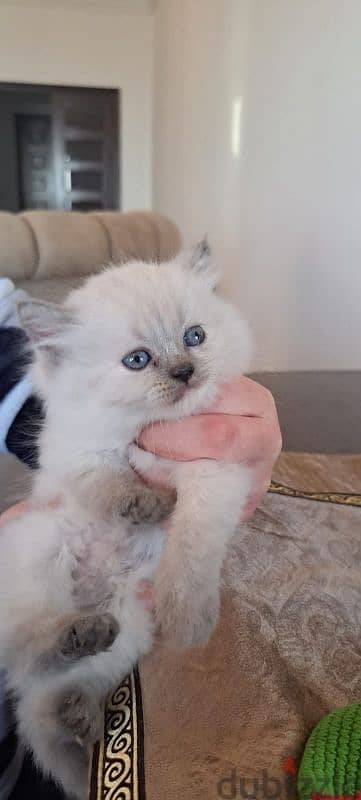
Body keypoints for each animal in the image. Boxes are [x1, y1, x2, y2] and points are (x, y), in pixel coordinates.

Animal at [0, 241, 250, 796]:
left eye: (194, 337)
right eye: (138, 361)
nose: (184, 372)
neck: (144, 425)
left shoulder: (213, 475)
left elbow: (191, 549)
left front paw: (188, 620)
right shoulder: (76, 453)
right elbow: (109, 483)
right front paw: (145, 505)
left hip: (128, 626)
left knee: (58, 690)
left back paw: (80, 711)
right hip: (41, 554)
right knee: (26, 647)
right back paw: (71, 637)